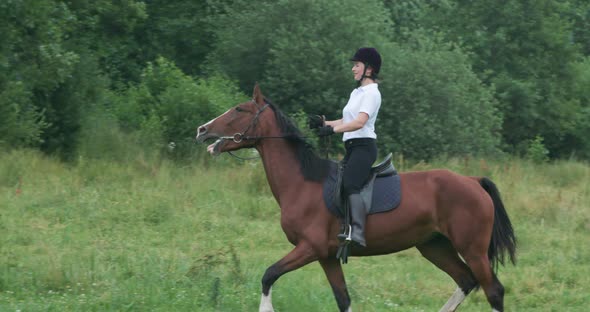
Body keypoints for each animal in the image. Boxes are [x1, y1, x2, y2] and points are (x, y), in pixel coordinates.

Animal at [197, 83, 516, 312]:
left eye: (239, 109)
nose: (202, 130)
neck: (302, 183)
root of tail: (473, 181)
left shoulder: (309, 247)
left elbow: (268, 275)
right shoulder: (326, 256)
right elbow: (343, 299)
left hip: (472, 249)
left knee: (494, 290)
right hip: (434, 245)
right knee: (466, 280)